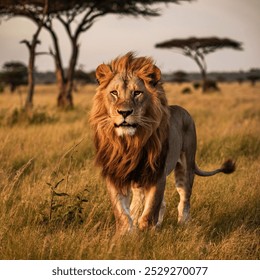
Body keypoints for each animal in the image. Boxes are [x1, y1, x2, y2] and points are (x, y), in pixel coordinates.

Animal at [90, 52, 236, 234]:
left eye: (137, 93)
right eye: (114, 93)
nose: (124, 112)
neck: (130, 143)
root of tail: (183, 110)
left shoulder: (157, 173)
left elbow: (150, 210)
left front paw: (146, 234)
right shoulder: (116, 174)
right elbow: (122, 212)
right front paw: (126, 234)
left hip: (185, 168)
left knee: (184, 199)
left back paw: (182, 225)